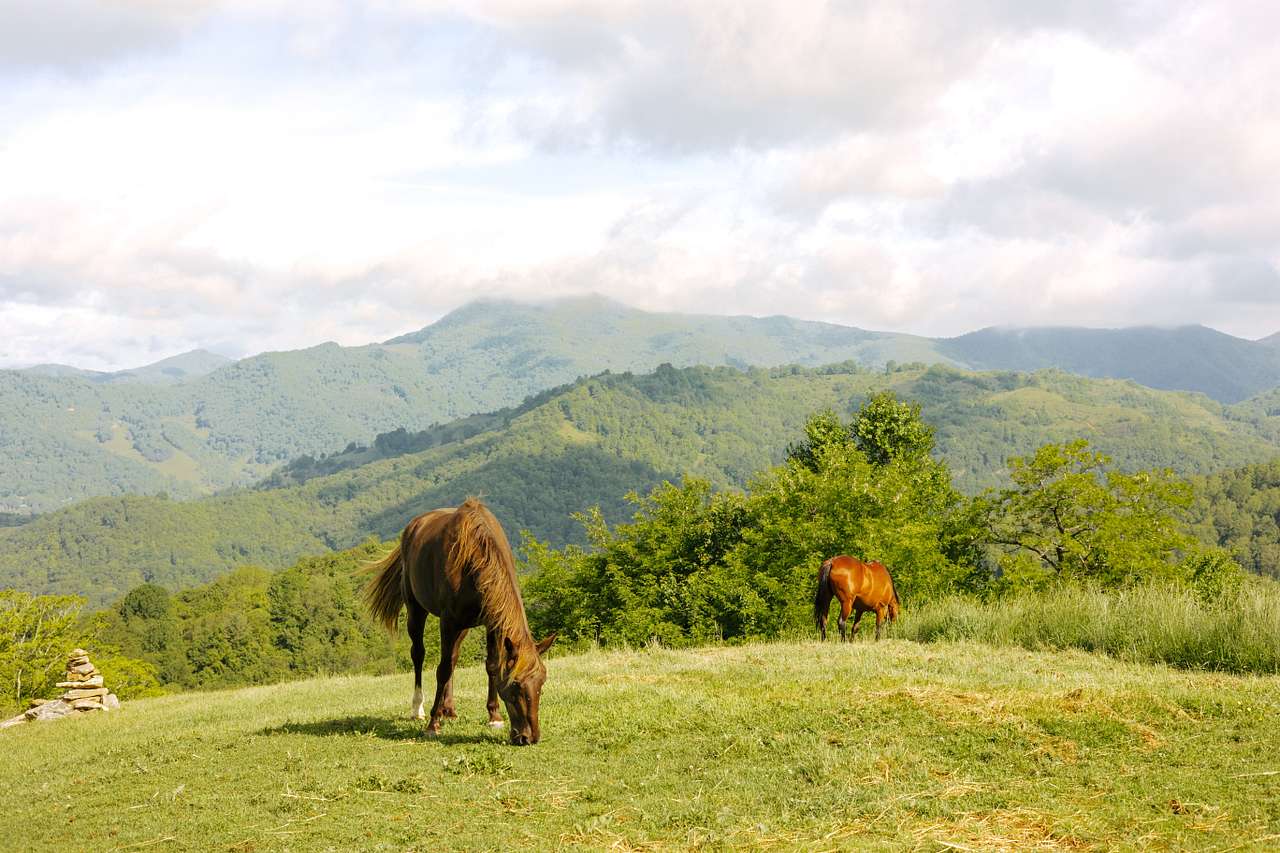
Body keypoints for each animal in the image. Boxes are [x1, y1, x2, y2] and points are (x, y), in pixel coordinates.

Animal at [362, 497, 556, 745]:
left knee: (453, 657)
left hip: (462, 627)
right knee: (419, 654)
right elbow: (442, 669)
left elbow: (491, 665)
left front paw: (494, 716)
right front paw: (433, 724)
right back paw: (419, 708)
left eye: (541, 682)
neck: (473, 556)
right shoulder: (448, 622)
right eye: (515, 685)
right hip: (416, 610)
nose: (528, 737)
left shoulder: (490, 623)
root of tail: (413, 527)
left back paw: (449, 709)